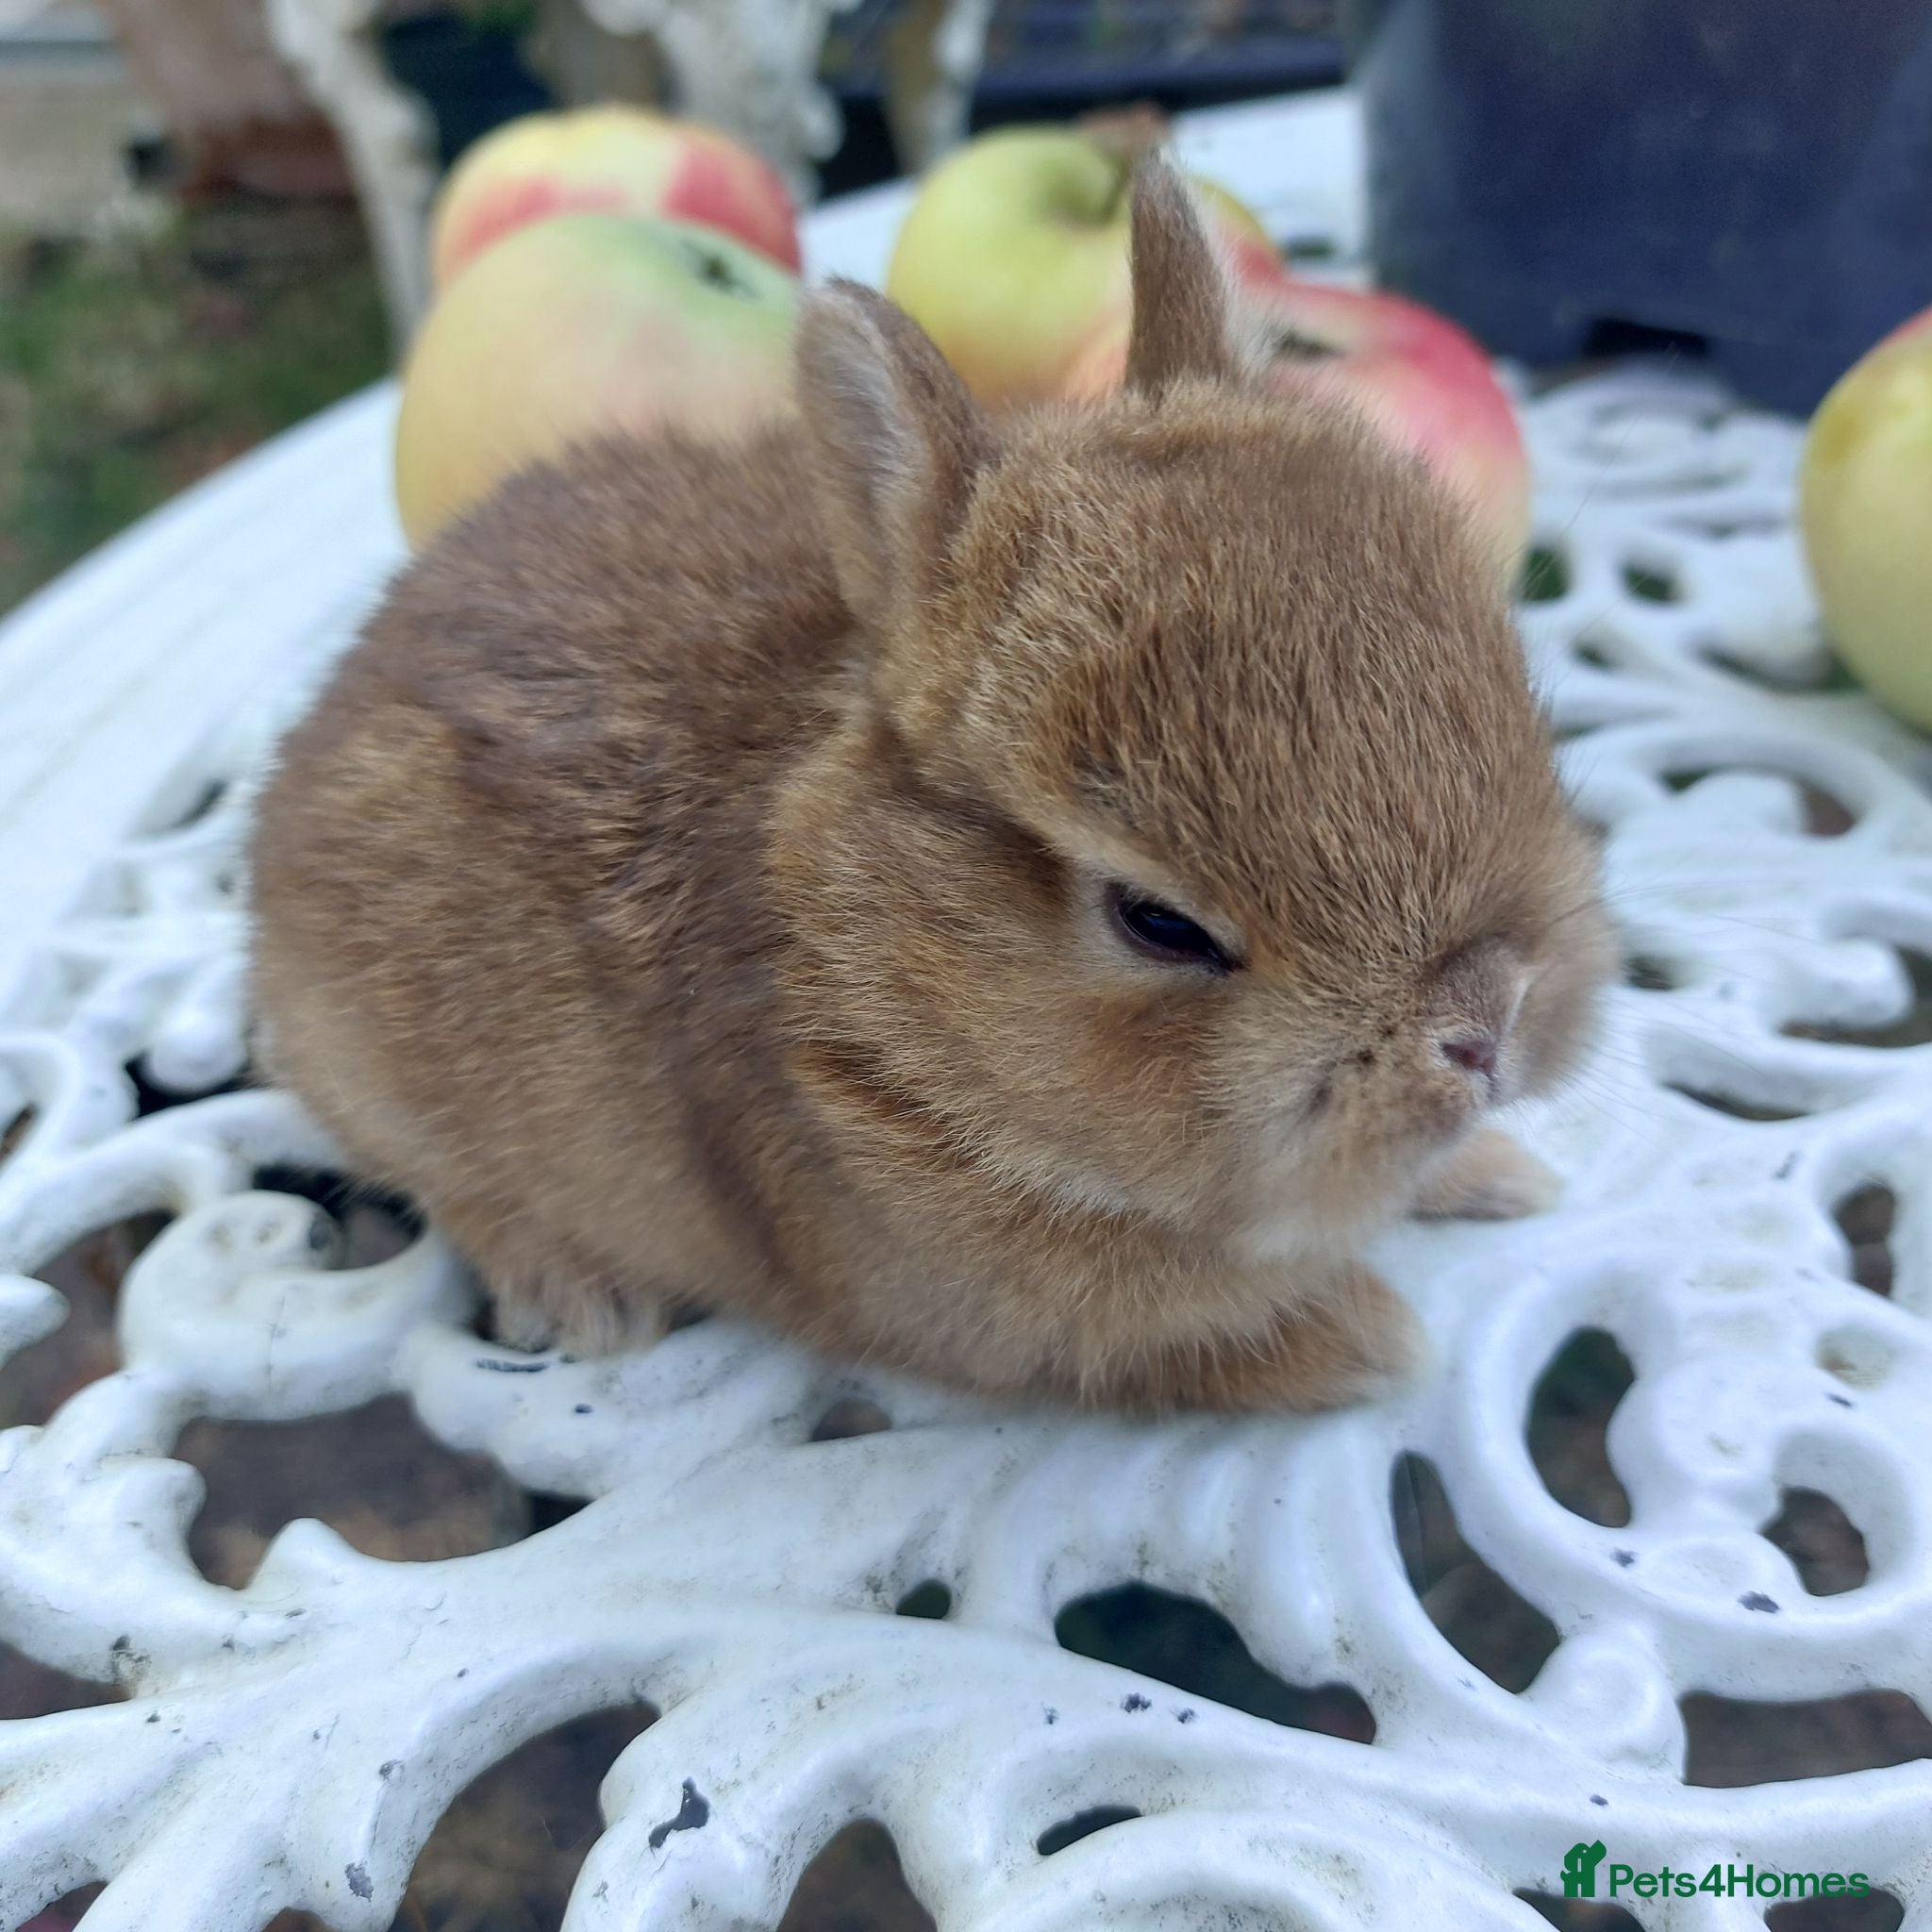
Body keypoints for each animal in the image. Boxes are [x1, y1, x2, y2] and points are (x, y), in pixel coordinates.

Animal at [249, 156, 1613, 1415]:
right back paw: (577, 1293)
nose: (1487, 1024)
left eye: (1507, 690)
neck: (888, 993)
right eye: (1157, 922)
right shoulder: (995, 1320)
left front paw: (1498, 1176)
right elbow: (1196, 1347)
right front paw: (1377, 1342)